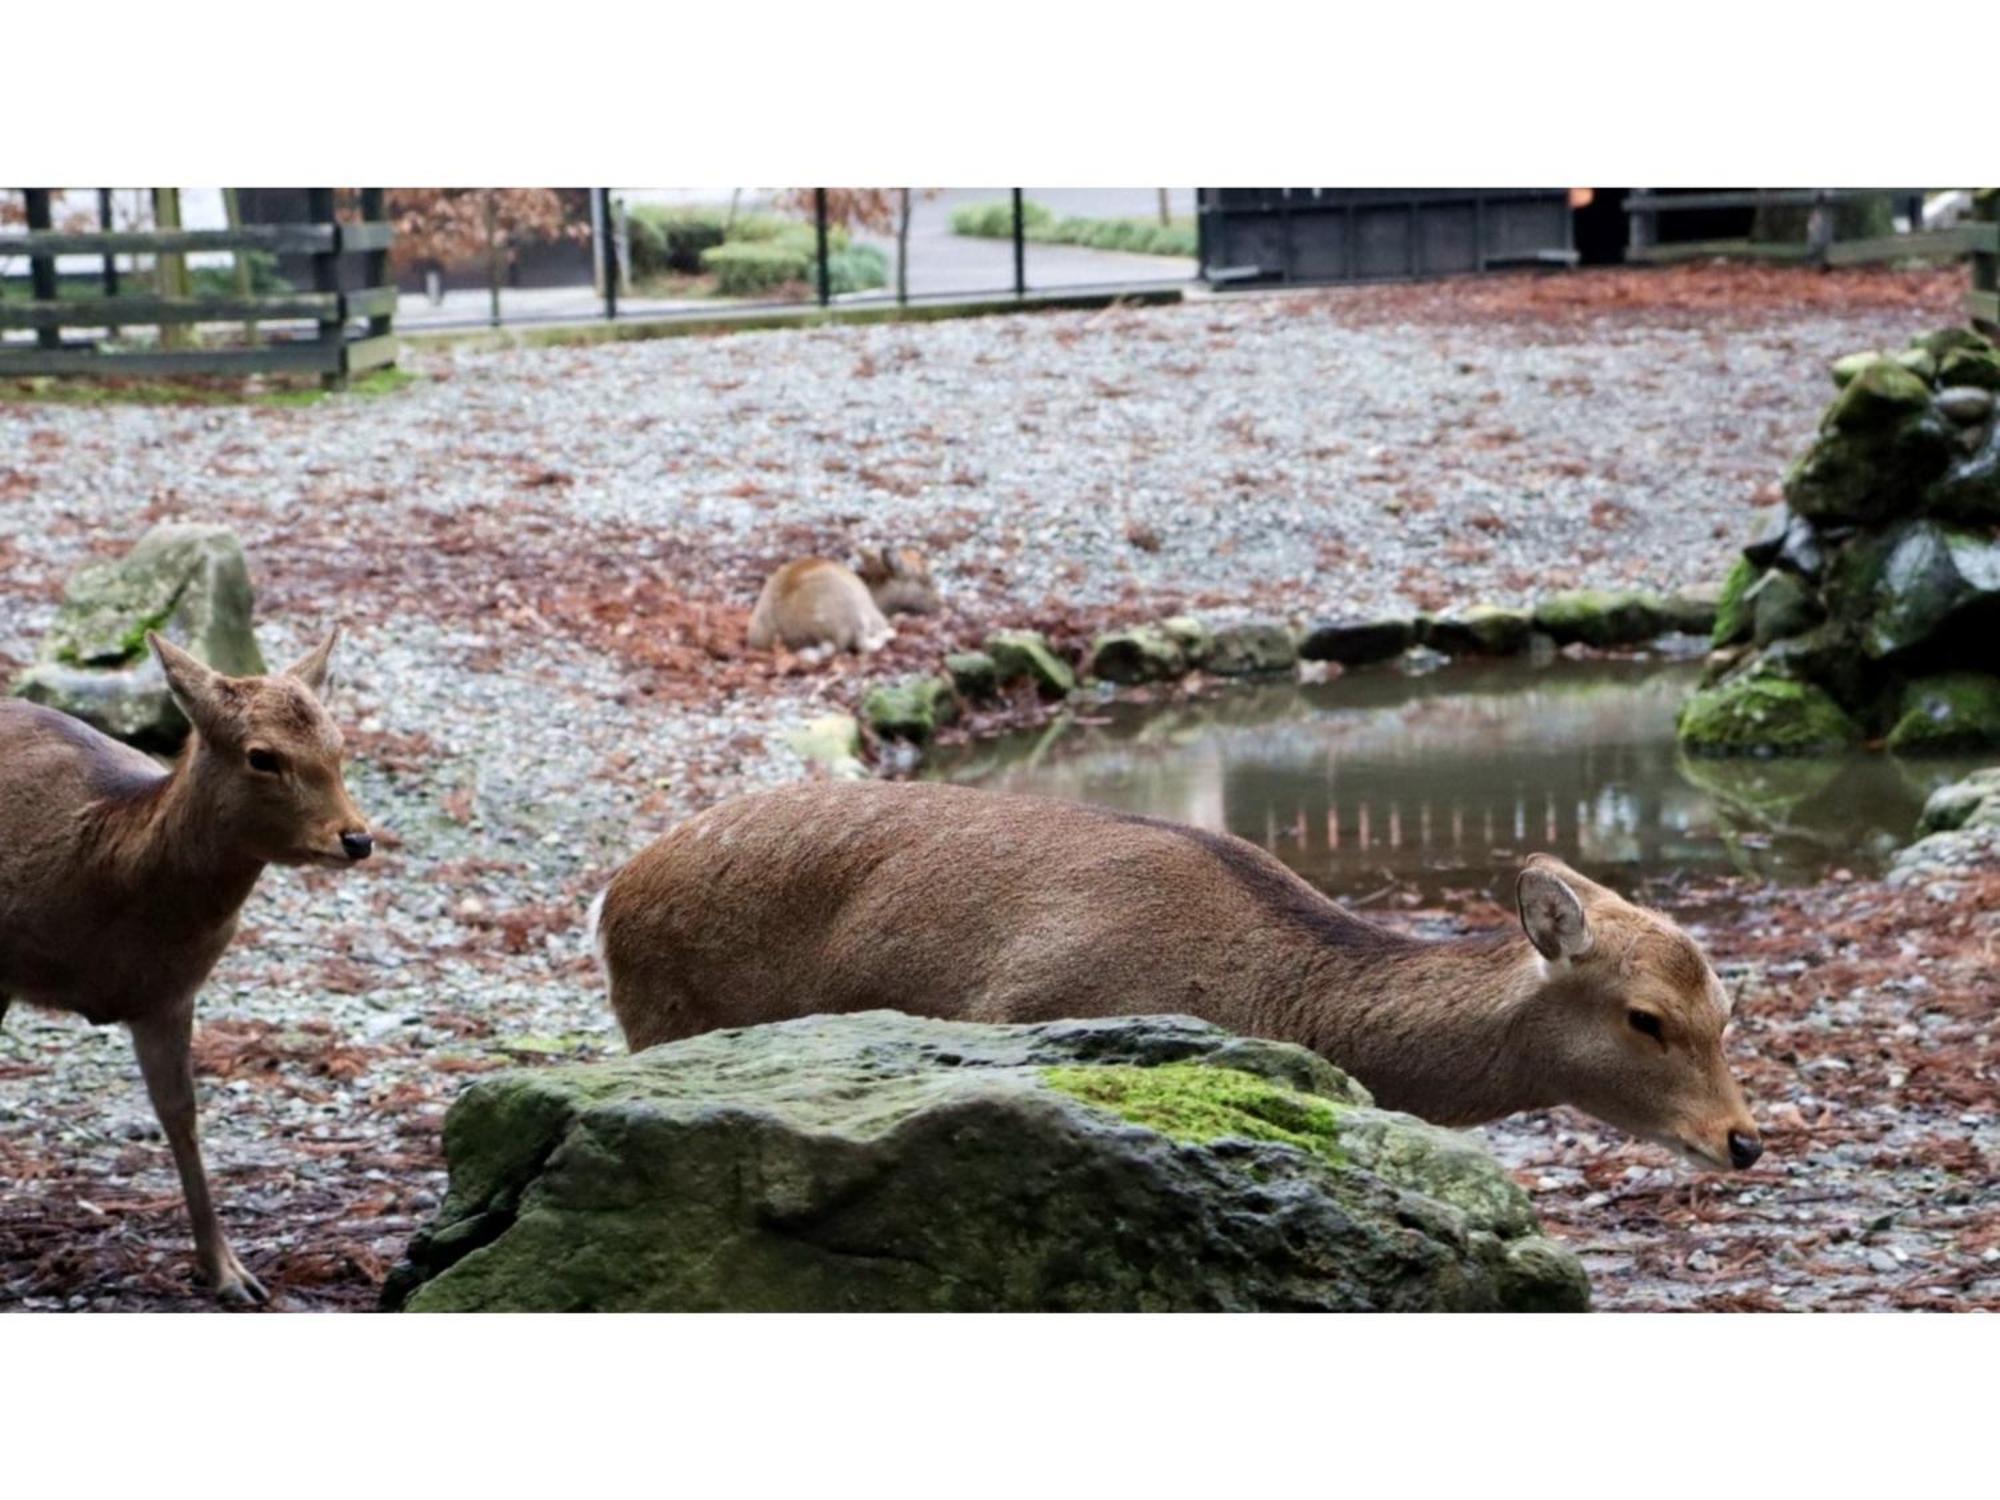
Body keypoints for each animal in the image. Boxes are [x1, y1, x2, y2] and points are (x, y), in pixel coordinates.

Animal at [0, 628, 374, 1312]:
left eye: (339, 744)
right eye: (261, 756)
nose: (356, 838)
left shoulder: (170, 993)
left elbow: (181, 1113)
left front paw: (230, 1274)